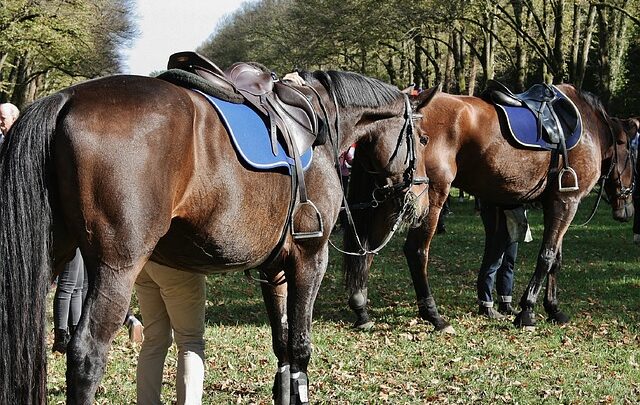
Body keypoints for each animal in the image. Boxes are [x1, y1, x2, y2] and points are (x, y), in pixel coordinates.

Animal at [1, 71, 430, 402]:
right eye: (424, 139)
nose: (423, 200)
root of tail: (67, 97)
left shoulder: (274, 269)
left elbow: (282, 342)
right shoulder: (311, 258)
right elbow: (301, 347)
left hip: (52, 256)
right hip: (116, 269)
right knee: (87, 353)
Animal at [344, 84, 636, 332]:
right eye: (634, 155)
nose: (627, 209)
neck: (589, 129)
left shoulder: (558, 203)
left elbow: (556, 259)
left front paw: (553, 309)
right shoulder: (567, 202)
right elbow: (547, 257)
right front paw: (527, 311)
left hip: (393, 195)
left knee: (369, 246)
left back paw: (361, 310)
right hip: (428, 198)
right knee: (416, 252)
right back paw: (433, 315)